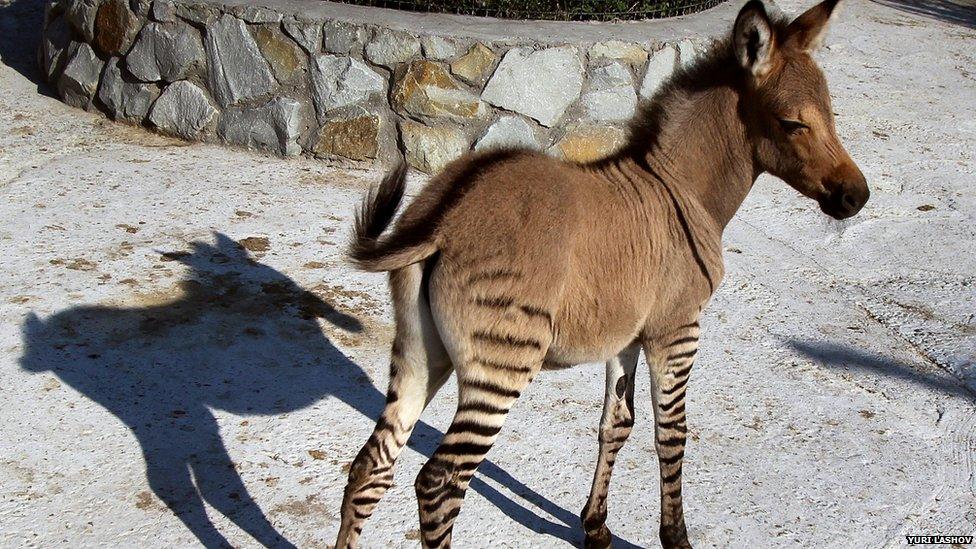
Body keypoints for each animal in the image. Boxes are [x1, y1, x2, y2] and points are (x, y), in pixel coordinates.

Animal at [336, 0, 868, 544]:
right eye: (792, 123)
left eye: (830, 114)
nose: (858, 197)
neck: (682, 189)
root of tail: (446, 215)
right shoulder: (677, 332)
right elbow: (671, 434)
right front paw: (675, 537)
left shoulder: (625, 337)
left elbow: (617, 423)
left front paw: (595, 527)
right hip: (500, 367)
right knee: (440, 483)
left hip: (421, 354)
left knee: (370, 468)